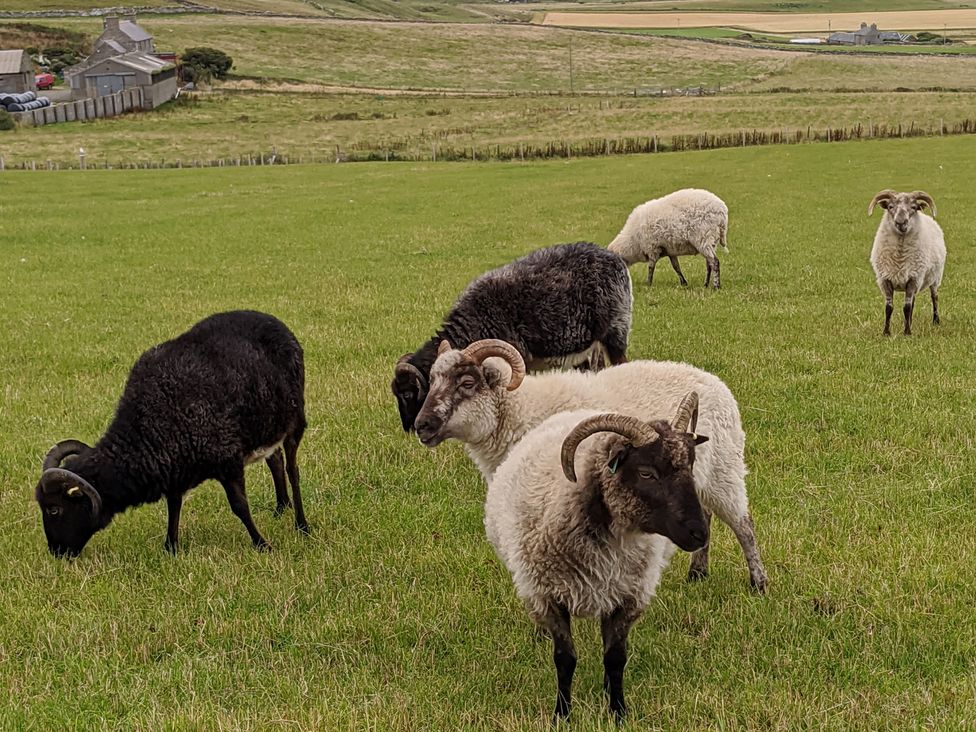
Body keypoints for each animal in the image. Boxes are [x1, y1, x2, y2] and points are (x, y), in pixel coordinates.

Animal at [34, 310, 308, 557]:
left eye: (54, 509)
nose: (57, 553)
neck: (150, 425)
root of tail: (275, 321)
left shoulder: (228, 460)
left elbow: (239, 506)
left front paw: (262, 545)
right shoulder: (175, 468)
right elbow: (173, 505)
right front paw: (170, 547)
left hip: (295, 420)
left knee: (292, 470)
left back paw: (301, 524)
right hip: (269, 427)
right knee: (275, 460)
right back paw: (281, 508)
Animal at [415, 339, 766, 592]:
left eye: (467, 383)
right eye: (432, 380)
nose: (422, 425)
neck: (517, 412)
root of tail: (717, 383)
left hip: (724, 470)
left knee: (743, 524)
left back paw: (758, 583)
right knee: (706, 513)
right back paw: (698, 572)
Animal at [484, 396, 709, 721]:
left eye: (691, 466)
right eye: (646, 473)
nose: (700, 534)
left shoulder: (627, 598)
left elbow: (615, 658)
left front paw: (618, 711)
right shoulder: (548, 597)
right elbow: (565, 659)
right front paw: (562, 714)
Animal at [868, 190, 945, 336]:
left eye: (914, 207)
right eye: (890, 207)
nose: (900, 222)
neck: (900, 258)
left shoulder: (913, 279)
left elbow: (907, 307)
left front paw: (907, 332)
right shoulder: (885, 279)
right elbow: (889, 307)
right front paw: (886, 332)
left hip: (935, 278)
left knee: (935, 297)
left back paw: (936, 321)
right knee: (914, 302)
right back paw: (910, 322)